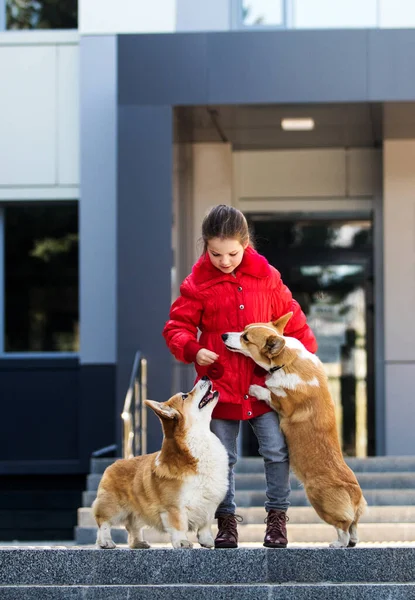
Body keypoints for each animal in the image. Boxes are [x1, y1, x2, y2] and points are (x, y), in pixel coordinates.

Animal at [92, 378, 228, 552]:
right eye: (185, 396)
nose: (205, 377)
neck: (197, 438)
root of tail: (114, 464)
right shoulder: (174, 507)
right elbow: (179, 526)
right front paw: (182, 542)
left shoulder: (209, 504)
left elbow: (205, 525)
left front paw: (207, 542)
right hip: (113, 506)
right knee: (103, 523)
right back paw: (106, 542)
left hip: (139, 510)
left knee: (132, 526)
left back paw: (138, 543)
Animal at [224, 314, 368, 548]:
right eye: (243, 329)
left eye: (246, 337)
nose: (223, 335)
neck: (288, 360)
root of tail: (355, 494)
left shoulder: (285, 405)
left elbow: (270, 393)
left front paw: (256, 388)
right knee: (354, 524)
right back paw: (352, 541)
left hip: (318, 499)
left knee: (344, 525)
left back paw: (338, 543)